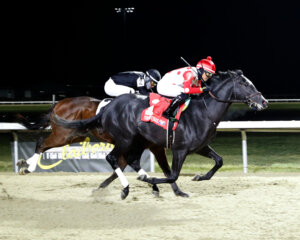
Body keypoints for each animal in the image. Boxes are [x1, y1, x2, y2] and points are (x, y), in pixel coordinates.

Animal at [52, 70, 268, 199]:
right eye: (246, 85)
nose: (264, 101)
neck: (203, 112)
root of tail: (107, 108)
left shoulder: (200, 147)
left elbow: (219, 161)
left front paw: (198, 177)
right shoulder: (180, 149)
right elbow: (172, 175)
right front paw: (157, 183)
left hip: (138, 141)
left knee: (130, 160)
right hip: (125, 139)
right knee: (113, 158)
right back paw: (126, 188)